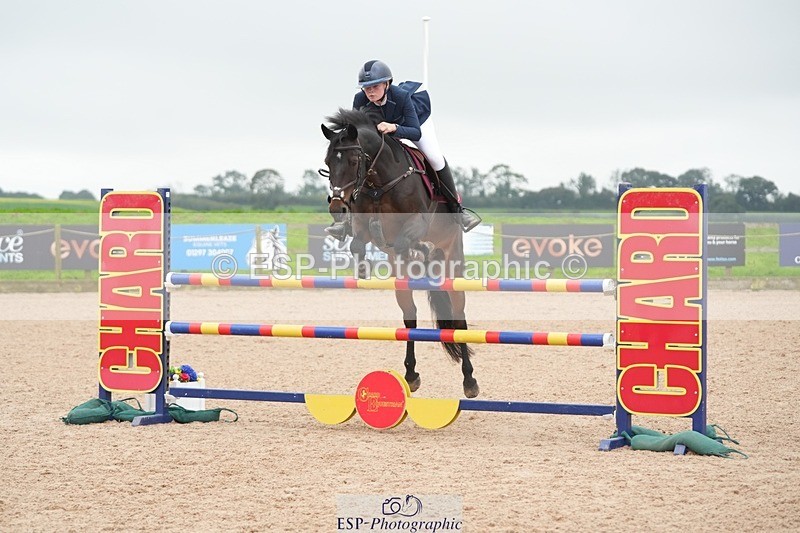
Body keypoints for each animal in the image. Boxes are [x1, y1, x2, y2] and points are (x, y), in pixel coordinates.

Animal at [320, 108, 479, 398]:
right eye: (327, 162)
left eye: (353, 160)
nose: (337, 208)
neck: (378, 181)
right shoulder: (362, 225)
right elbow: (358, 243)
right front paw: (362, 268)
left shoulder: (417, 222)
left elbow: (406, 240)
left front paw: (422, 248)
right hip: (402, 287)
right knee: (410, 319)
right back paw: (411, 375)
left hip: (453, 264)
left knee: (459, 319)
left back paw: (469, 380)